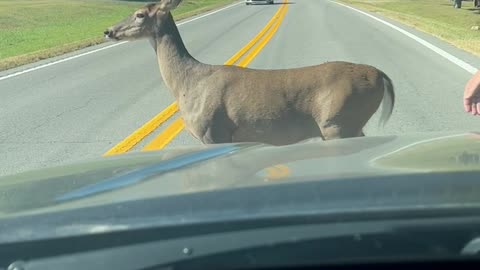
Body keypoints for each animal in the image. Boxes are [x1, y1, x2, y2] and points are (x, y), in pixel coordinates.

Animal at [104, 0, 394, 147]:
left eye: (139, 14)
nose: (108, 30)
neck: (188, 84)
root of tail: (381, 74)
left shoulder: (214, 132)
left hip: (338, 121)